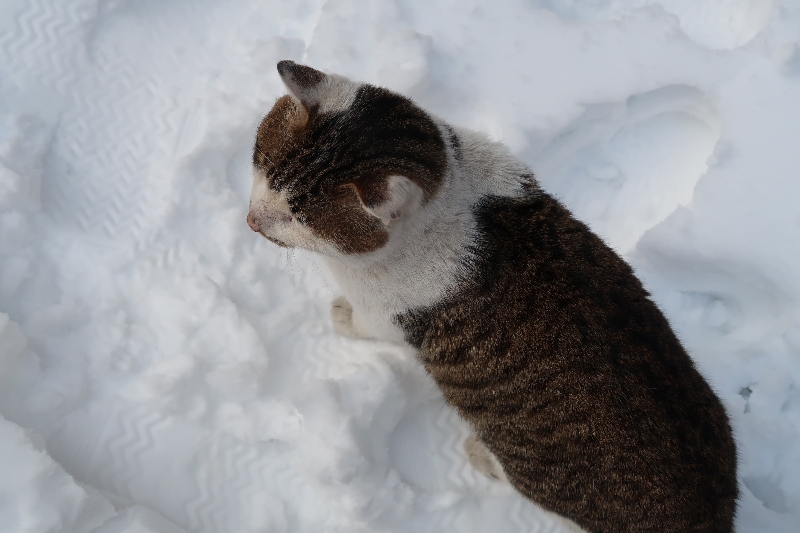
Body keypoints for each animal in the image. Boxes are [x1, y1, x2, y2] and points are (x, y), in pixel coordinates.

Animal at [247, 60, 740, 532]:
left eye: (299, 218)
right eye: (265, 167)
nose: (253, 220)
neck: (455, 189)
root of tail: (711, 514)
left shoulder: (387, 316)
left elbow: (363, 323)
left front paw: (342, 316)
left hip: (535, 471)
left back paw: (482, 456)